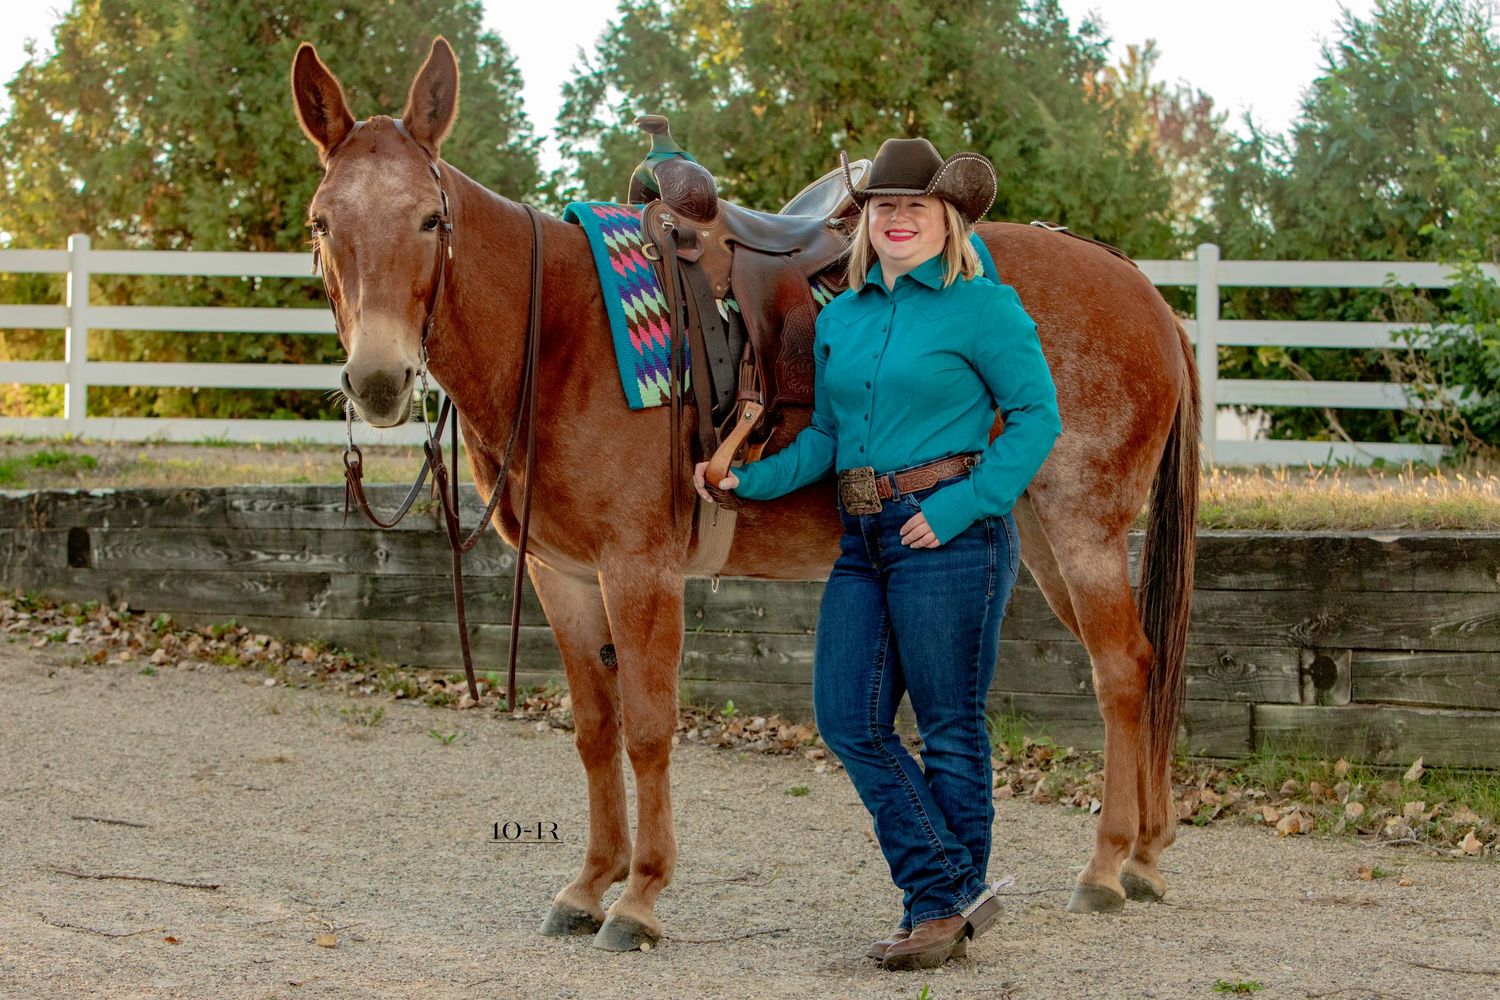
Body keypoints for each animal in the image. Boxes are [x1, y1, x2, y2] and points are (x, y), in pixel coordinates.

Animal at [291, 36, 1200, 951]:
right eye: (322, 223)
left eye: (430, 220)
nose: (378, 379)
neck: (561, 337)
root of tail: (1144, 291)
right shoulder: (564, 575)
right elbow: (594, 732)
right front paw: (589, 883)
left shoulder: (640, 570)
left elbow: (649, 730)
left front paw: (640, 896)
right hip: (1039, 535)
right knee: (1139, 665)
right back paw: (1145, 855)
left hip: (1082, 527)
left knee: (1122, 670)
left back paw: (1106, 866)